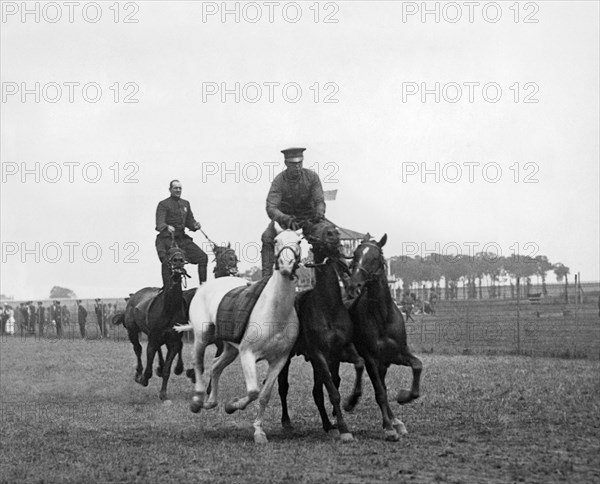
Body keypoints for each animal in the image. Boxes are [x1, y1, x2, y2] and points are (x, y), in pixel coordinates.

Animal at [176, 225, 302, 444]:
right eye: (276, 241)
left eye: (299, 242)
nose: (287, 265)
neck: (274, 313)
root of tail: (204, 287)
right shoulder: (247, 354)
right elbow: (253, 391)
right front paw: (232, 406)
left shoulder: (280, 359)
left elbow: (264, 395)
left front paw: (258, 430)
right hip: (202, 337)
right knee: (199, 364)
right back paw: (198, 400)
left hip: (229, 349)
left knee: (215, 366)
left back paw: (210, 402)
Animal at [278, 221, 366, 444]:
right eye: (316, 228)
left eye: (330, 228)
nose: (333, 235)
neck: (329, 307)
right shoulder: (319, 355)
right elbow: (333, 392)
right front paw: (344, 429)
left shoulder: (339, 352)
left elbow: (357, 365)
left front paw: (351, 401)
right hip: (287, 357)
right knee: (283, 386)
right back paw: (287, 422)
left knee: (317, 391)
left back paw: (327, 424)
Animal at [344, 233, 424, 440]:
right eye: (355, 255)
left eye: (375, 257)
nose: (353, 285)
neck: (382, 316)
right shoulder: (372, 359)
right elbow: (380, 392)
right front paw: (388, 429)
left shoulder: (395, 355)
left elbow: (417, 366)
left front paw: (404, 397)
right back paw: (350, 402)